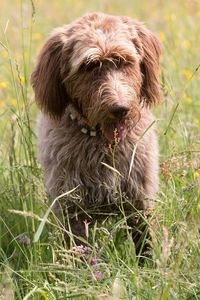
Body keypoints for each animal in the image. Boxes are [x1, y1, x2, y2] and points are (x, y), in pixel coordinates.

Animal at [31, 11, 162, 246]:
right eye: (89, 66)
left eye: (125, 61)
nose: (120, 109)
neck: (101, 142)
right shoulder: (72, 207)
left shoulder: (139, 198)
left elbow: (144, 241)